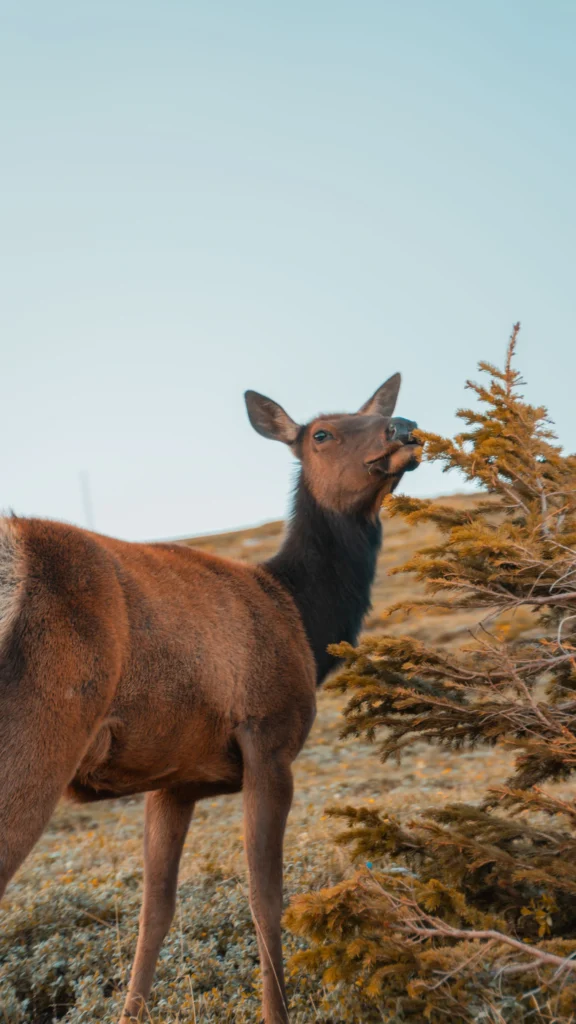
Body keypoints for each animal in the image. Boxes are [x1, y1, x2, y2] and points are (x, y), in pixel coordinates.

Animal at [0, 372, 420, 1023]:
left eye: (373, 413)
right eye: (321, 433)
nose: (404, 428)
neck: (305, 616)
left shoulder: (173, 779)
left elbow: (155, 912)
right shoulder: (269, 736)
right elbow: (266, 899)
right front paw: (277, 1012)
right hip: (41, 730)